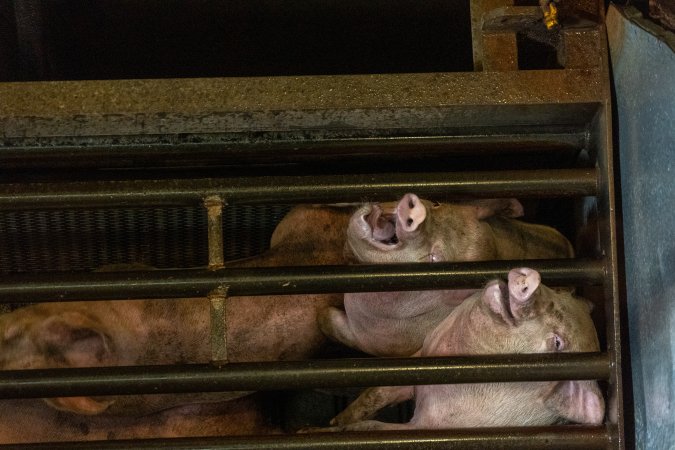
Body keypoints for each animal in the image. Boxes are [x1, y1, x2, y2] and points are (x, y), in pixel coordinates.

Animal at [320, 268, 604, 430]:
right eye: (556, 293)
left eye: (557, 343)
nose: (531, 277)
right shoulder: (421, 356)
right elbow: (378, 392)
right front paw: (338, 421)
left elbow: (378, 429)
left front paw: (333, 430)